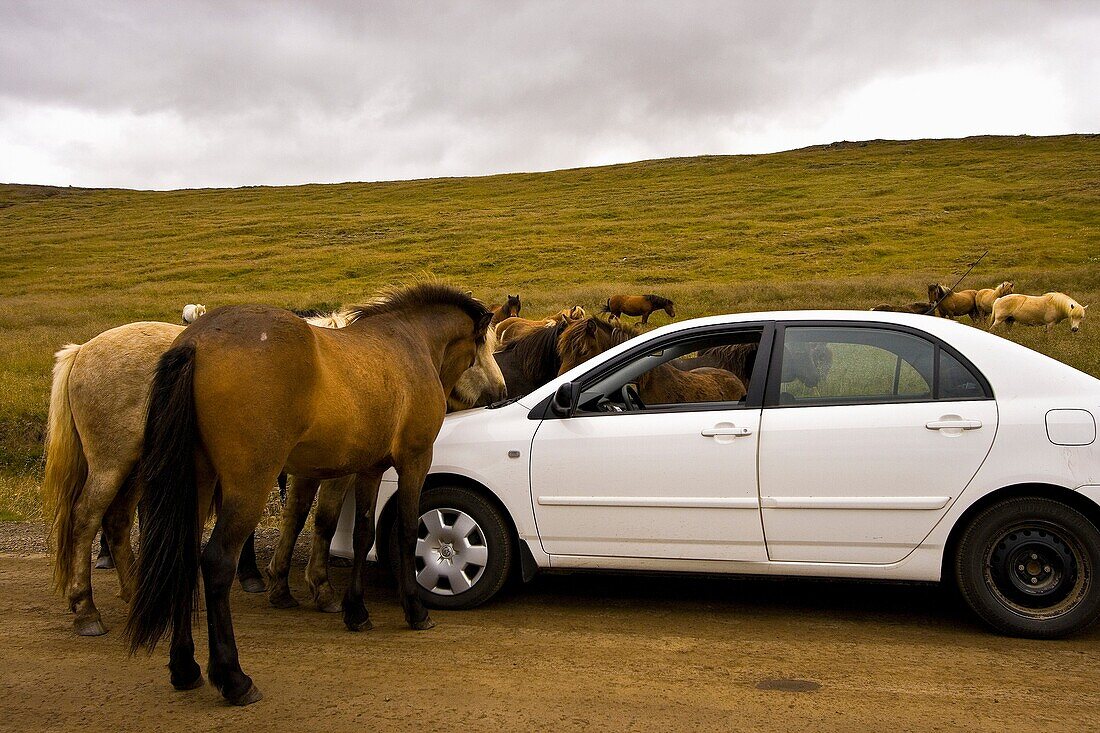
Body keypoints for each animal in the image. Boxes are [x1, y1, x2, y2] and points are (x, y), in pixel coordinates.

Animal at [126, 283, 503, 704]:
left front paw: (356, 611)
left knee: (185, 554)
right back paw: (234, 678)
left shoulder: (368, 468)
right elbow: (407, 532)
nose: (501, 390)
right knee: (217, 562)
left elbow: (362, 535)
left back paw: (184, 666)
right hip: (248, 485)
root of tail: (197, 340)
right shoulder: (414, 461)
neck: (410, 342)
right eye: (484, 345)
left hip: (200, 481)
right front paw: (415, 610)